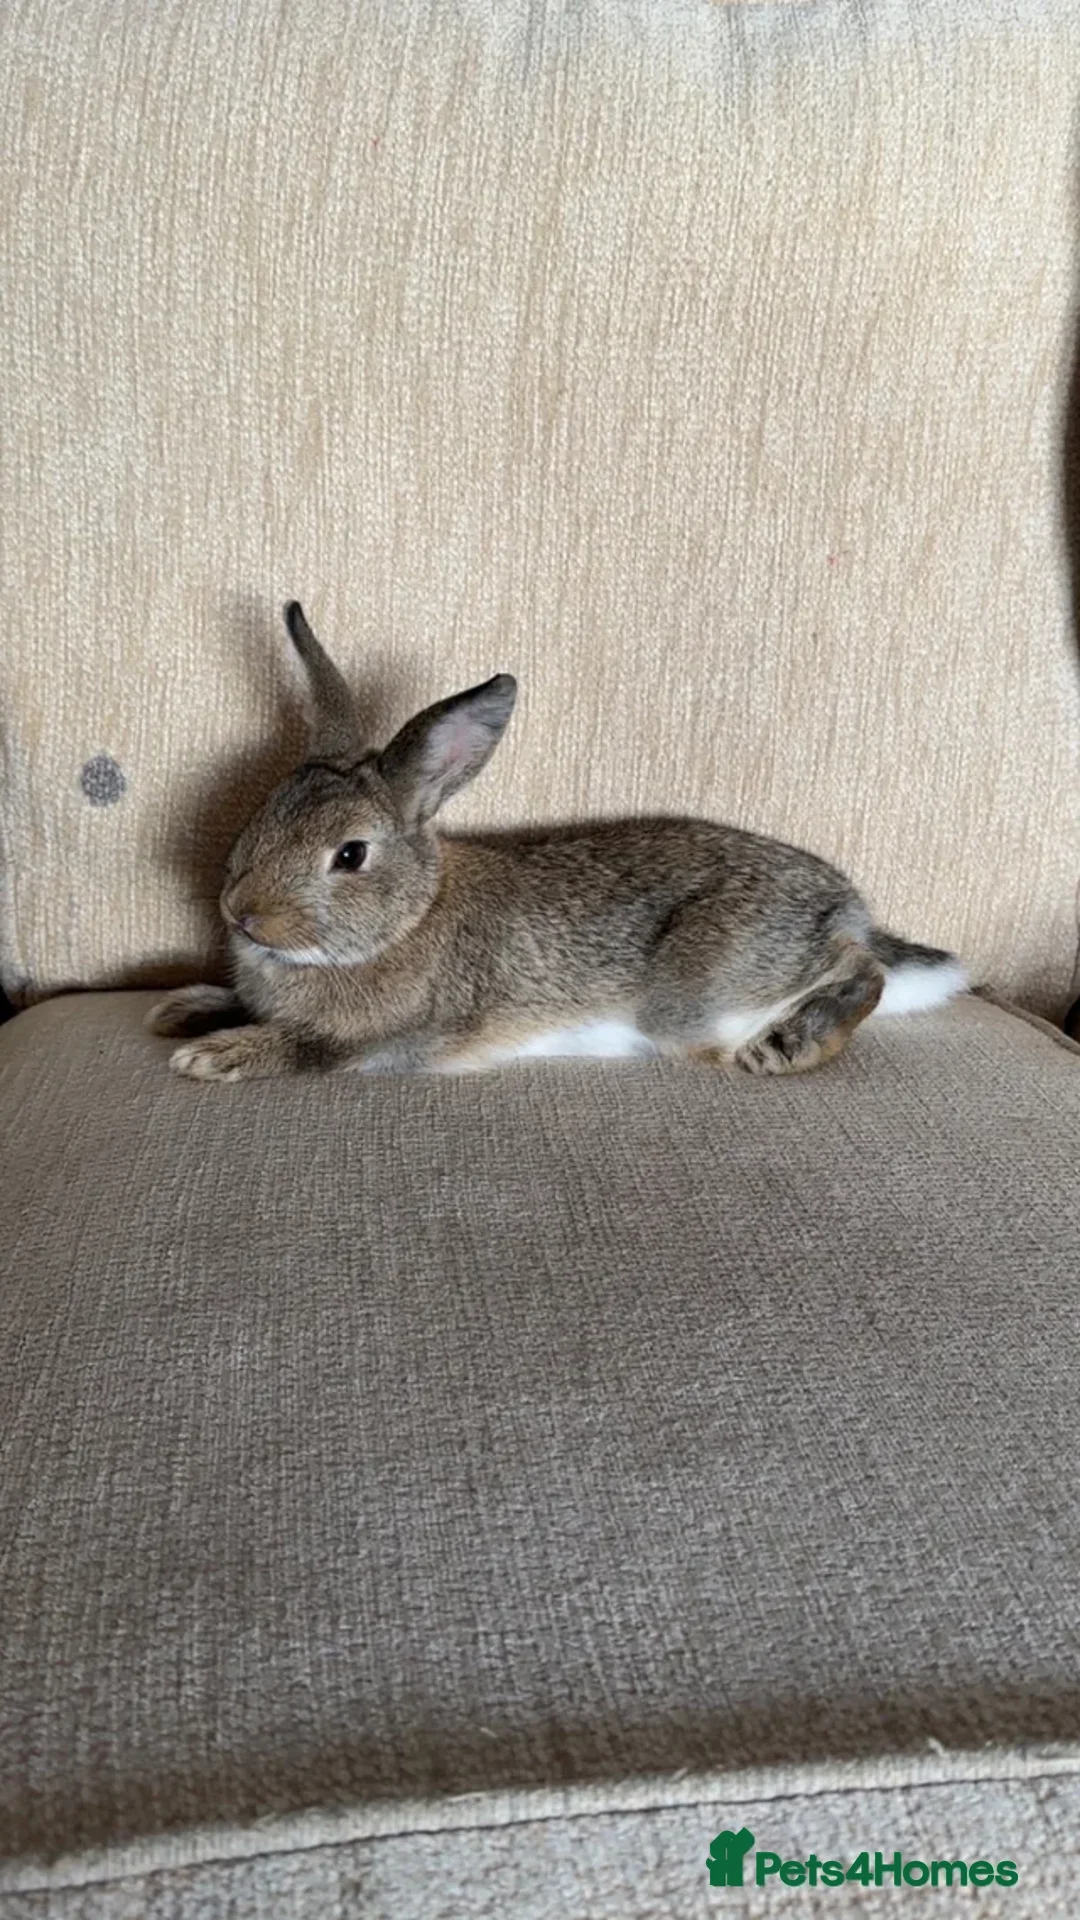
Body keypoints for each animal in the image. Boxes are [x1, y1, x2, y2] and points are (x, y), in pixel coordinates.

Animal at [147, 602, 968, 1083]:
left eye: (349, 855)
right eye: (265, 810)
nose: (242, 912)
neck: (406, 920)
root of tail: (847, 905)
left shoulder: (390, 1036)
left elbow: (304, 1047)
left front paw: (213, 1054)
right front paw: (180, 1008)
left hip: (703, 996)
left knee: (860, 969)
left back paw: (794, 1043)